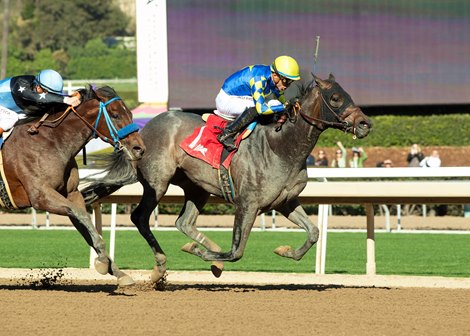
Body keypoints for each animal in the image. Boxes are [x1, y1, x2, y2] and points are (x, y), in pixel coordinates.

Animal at [0, 85, 145, 284]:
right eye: (115, 114)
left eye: (130, 113)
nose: (139, 149)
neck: (51, 141)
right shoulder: (41, 196)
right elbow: (82, 217)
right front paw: (102, 261)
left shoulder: (72, 194)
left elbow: (86, 227)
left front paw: (117, 272)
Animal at [82, 75, 372, 282]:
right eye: (336, 98)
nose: (366, 124)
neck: (282, 146)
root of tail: (141, 130)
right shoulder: (248, 203)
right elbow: (237, 251)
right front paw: (199, 252)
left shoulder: (285, 202)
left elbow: (314, 232)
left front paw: (285, 251)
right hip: (157, 182)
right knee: (140, 217)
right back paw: (161, 266)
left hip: (196, 187)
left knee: (183, 222)